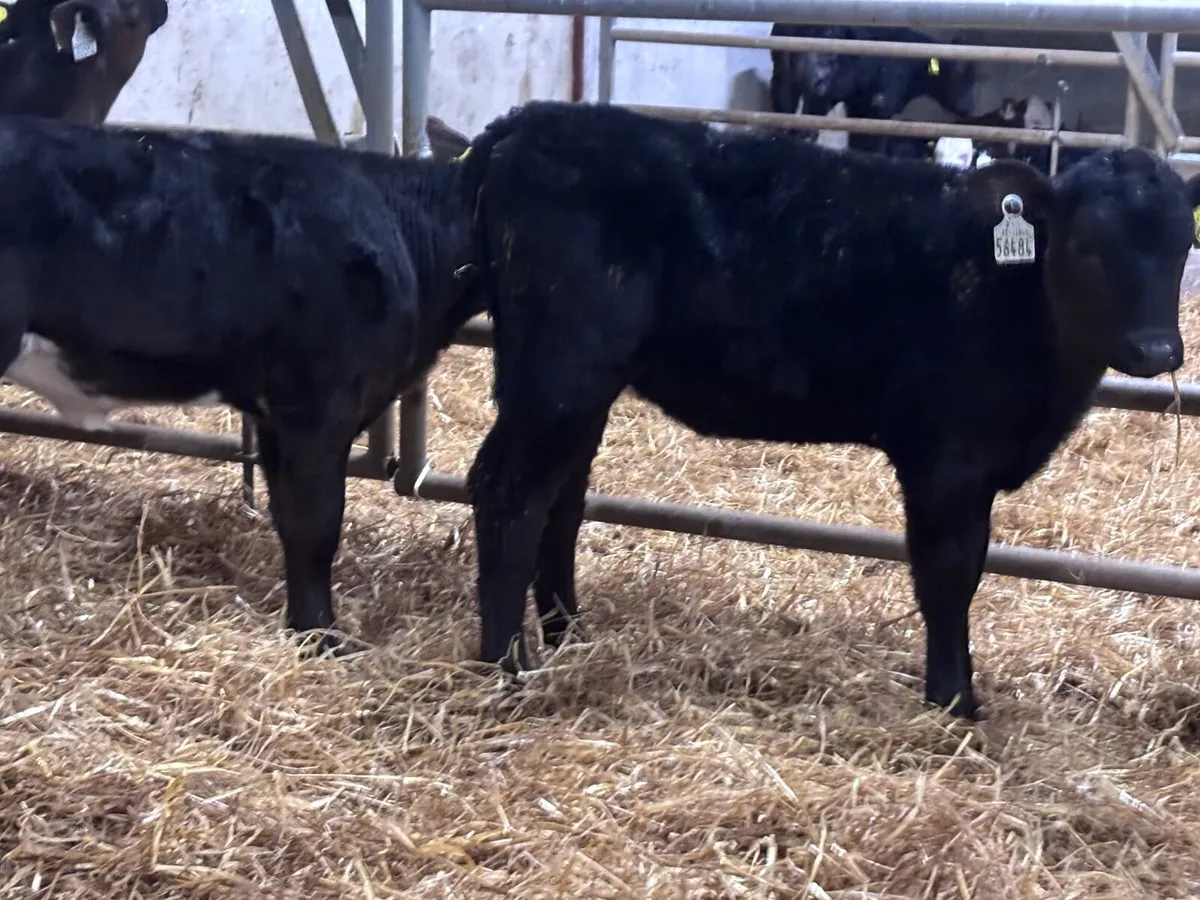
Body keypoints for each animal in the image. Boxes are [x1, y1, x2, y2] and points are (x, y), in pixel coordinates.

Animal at [457, 100, 1199, 721]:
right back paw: (508, 663)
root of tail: (528, 122)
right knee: (509, 489)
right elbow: (948, 572)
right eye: (1086, 245)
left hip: (578, 384)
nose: (1157, 348)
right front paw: (954, 702)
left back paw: (567, 635)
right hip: (561, 369)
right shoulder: (945, 458)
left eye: (1182, 246)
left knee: (560, 495)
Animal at [768, 24, 976, 155]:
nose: (969, 109)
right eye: (963, 75)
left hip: (782, 76)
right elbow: (869, 140)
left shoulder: (860, 105)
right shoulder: (879, 104)